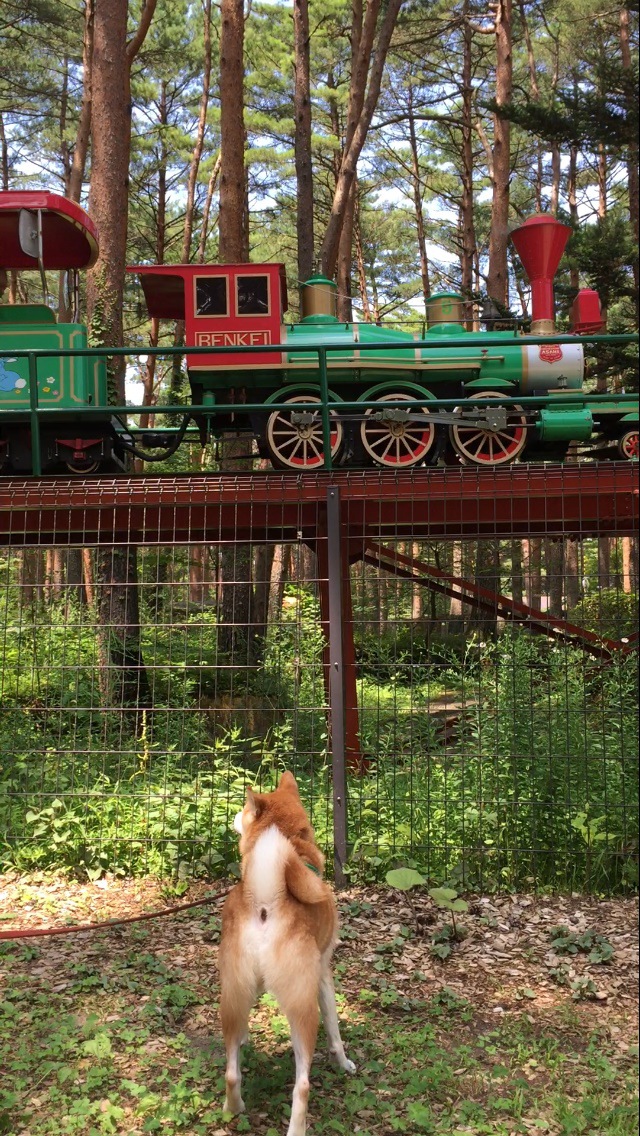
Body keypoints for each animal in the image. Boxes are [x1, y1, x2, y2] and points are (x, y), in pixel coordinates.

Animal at [219, 772, 354, 1136]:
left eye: (243, 810)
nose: (232, 815)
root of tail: (266, 901)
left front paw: (246, 1039)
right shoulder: (323, 973)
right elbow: (335, 1030)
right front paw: (344, 1062)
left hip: (230, 996)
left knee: (231, 1073)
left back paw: (234, 1108)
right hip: (304, 1011)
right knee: (302, 1085)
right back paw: (297, 1128)